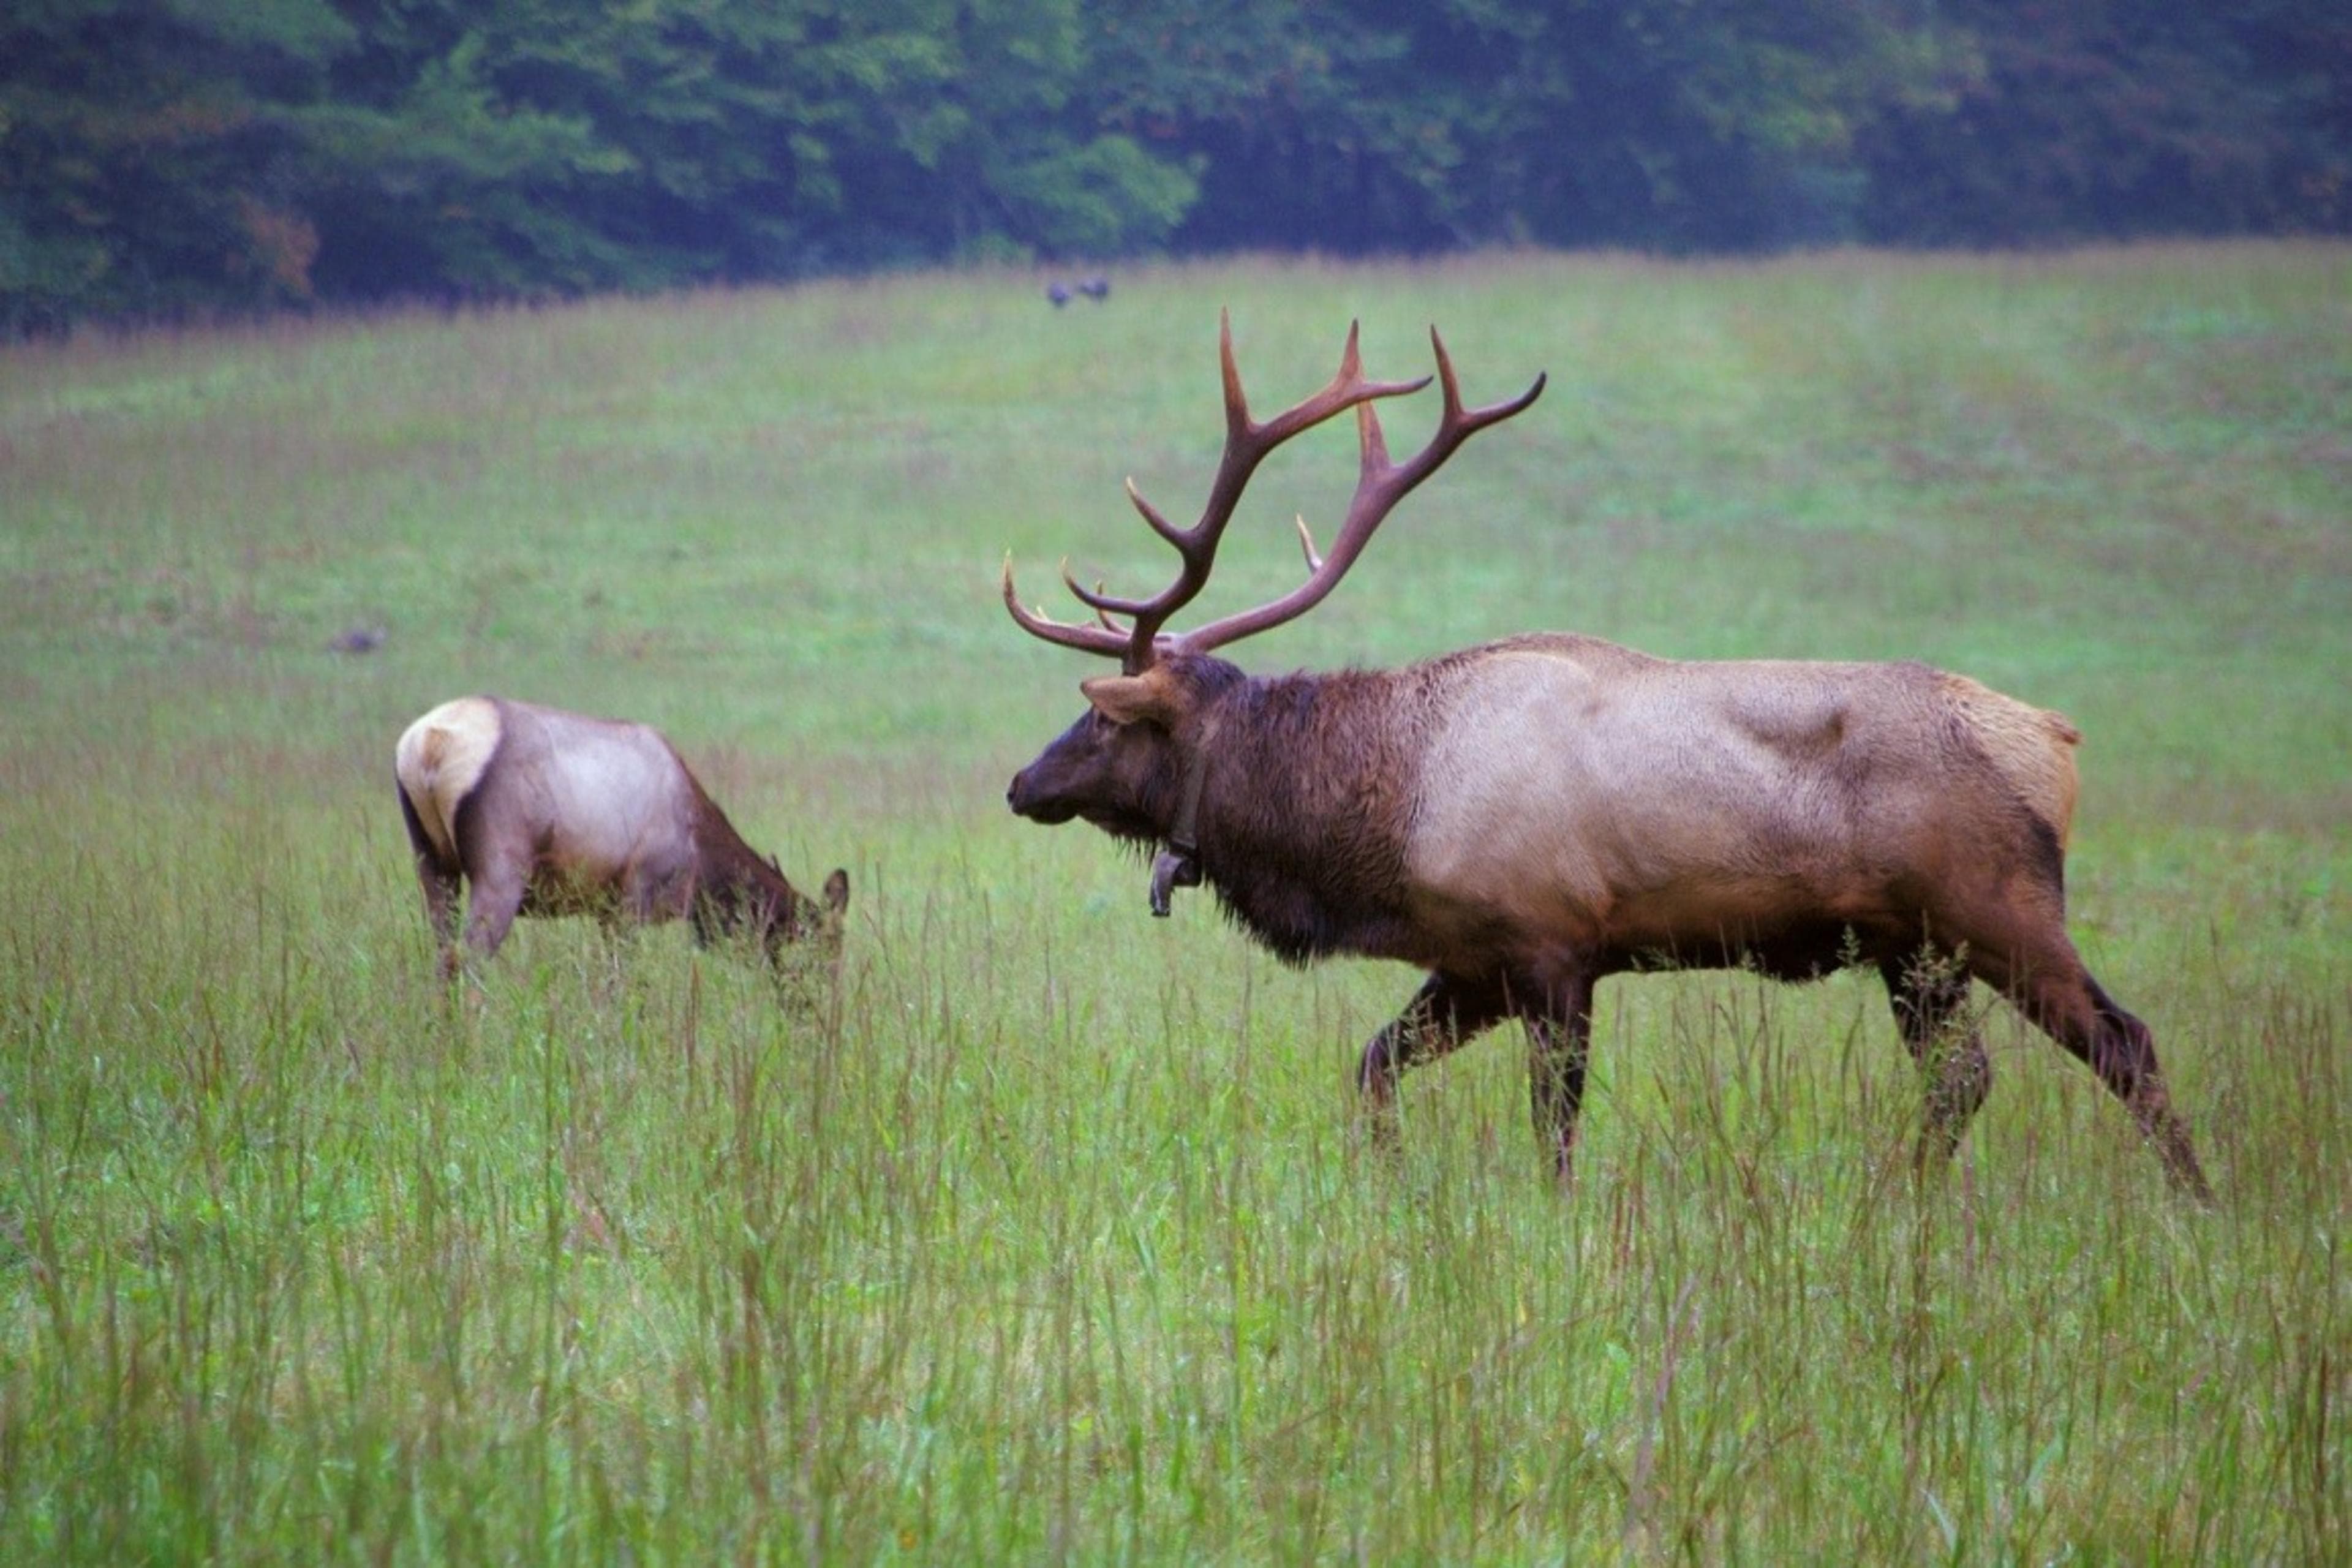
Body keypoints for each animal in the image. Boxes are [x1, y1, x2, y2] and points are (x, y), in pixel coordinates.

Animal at [395, 696, 849, 981]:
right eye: (826, 948)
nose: (817, 1011)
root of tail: (428, 745)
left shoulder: (606, 906)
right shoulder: (635, 893)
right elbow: (618, 983)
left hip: (432, 863)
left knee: (443, 955)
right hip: (501, 871)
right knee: (469, 960)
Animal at [1002, 313, 2212, 1201]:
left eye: (1101, 721)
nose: (1020, 784)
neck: (1381, 822)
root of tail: (2055, 743)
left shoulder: (1554, 949)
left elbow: (1554, 1129)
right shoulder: (1472, 963)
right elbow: (1373, 1068)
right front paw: (1389, 1184)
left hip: (1999, 910)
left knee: (2129, 1044)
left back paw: (2196, 1205)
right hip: (1914, 950)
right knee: (1964, 1079)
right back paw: (1904, 1199)